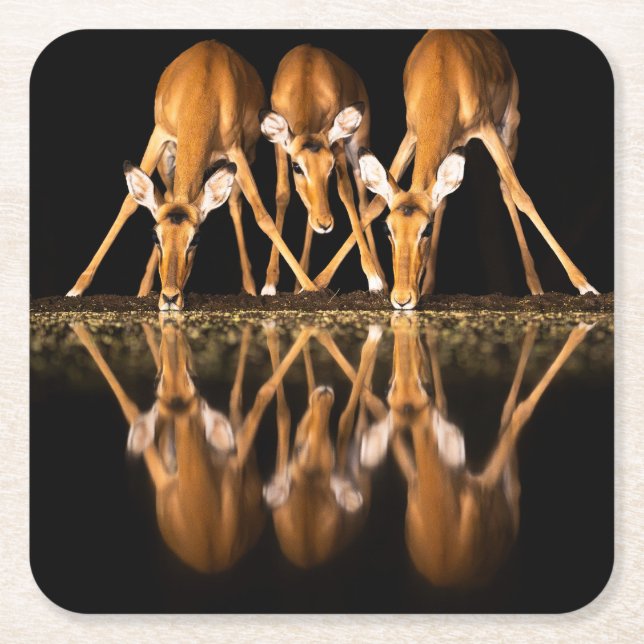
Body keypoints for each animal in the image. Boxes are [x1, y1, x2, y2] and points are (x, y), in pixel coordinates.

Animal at [66, 40, 318, 310]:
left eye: (196, 239)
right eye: (155, 236)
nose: (170, 297)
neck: (204, 88)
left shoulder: (236, 152)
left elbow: (262, 215)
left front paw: (309, 286)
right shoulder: (159, 135)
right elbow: (128, 204)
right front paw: (76, 288)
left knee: (235, 204)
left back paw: (251, 287)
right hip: (168, 161)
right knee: (167, 194)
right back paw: (143, 289)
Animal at [258, 44, 385, 295]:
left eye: (331, 167)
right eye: (297, 166)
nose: (326, 223)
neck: (306, 75)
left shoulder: (337, 143)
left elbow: (345, 192)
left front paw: (373, 278)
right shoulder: (279, 146)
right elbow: (282, 195)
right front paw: (270, 283)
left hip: (357, 145)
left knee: (364, 201)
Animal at [313, 30, 598, 309]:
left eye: (425, 229)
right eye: (388, 229)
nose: (402, 298)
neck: (444, 71)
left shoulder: (486, 128)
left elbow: (523, 197)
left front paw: (585, 285)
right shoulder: (412, 134)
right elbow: (375, 205)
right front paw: (319, 282)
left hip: (509, 129)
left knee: (507, 189)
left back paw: (537, 287)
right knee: (446, 198)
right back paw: (428, 286)